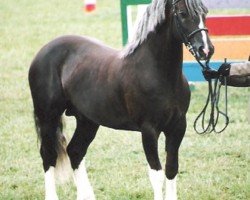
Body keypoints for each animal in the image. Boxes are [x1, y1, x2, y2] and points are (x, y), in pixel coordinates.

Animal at [28, 0, 213, 200]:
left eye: (205, 13)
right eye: (182, 13)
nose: (206, 49)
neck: (159, 74)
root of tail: (44, 51)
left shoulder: (177, 127)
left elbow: (171, 170)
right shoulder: (149, 130)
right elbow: (156, 174)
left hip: (87, 121)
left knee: (75, 151)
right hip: (48, 117)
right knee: (48, 155)